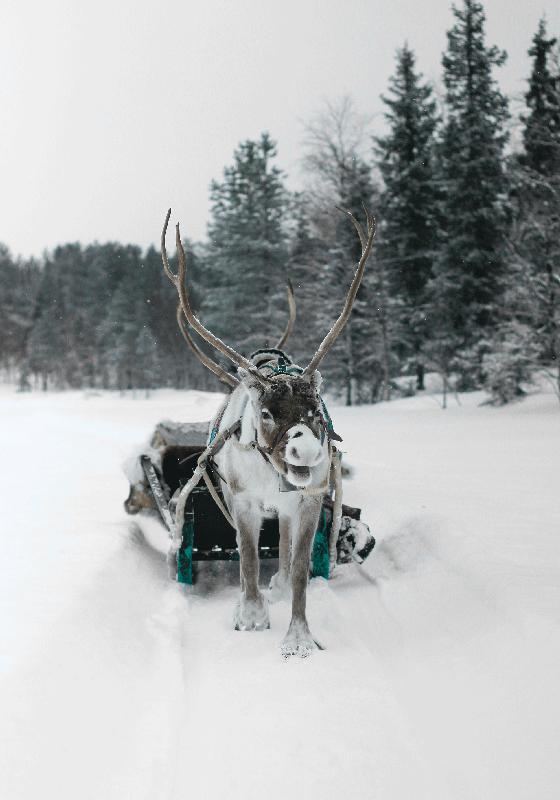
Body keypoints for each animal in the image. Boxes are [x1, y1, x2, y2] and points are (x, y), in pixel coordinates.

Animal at [161, 206, 375, 657]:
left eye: (316, 409)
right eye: (265, 412)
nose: (306, 453)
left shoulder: (309, 502)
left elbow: (298, 567)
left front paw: (299, 638)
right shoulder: (242, 501)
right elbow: (247, 558)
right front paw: (250, 616)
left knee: (285, 545)